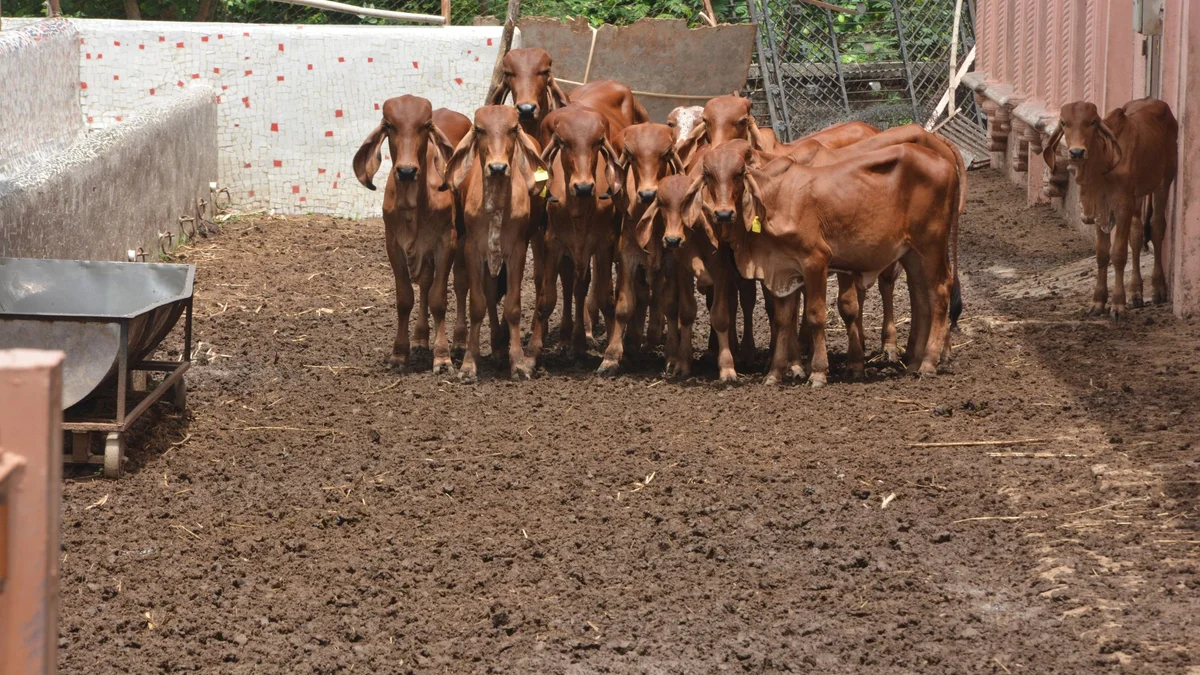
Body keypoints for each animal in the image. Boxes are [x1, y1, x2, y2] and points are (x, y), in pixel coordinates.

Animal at [352, 96, 469, 374]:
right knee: (425, 283)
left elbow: (439, 299)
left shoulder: (446, 242)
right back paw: (419, 338)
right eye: (389, 125)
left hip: (462, 239)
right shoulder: (393, 244)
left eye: (425, 125)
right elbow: (405, 298)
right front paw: (399, 353)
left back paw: (460, 341)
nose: (406, 171)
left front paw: (442, 357)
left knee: (461, 285)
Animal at [441, 105, 546, 381]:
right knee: (487, 294)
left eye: (513, 128)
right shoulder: (473, 250)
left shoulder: (517, 251)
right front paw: (469, 364)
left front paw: (518, 363)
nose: (497, 167)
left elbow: (512, 306)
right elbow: (478, 305)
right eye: (479, 129)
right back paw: (496, 345)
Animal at [597, 122, 686, 375]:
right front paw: (611, 357)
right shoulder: (628, 256)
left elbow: (669, 304)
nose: (648, 194)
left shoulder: (669, 259)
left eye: (665, 154)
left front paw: (672, 355)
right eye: (632, 156)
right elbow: (625, 305)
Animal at [735, 143, 962, 386]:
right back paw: (914, 364)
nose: (723, 214)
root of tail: (945, 162)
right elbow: (783, 320)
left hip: (932, 244)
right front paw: (774, 374)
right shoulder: (783, 271)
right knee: (921, 297)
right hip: (913, 253)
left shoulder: (816, 260)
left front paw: (818, 372)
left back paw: (928, 362)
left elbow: (815, 315)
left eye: (738, 174)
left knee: (940, 292)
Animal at [1042, 98, 1178, 319]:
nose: (1077, 152)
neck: (1105, 164)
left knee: (1157, 226)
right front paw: (1098, 302)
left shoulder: (1123, 206)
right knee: (1137, 232)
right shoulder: (1100, 208)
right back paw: (1136, 293)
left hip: (1164, 181)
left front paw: (1117, 304)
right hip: (1138, 195)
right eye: (1064, 122)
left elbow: (1118, 254)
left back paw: (1158, 289)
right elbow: (1102, 254)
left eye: (1092, 122)